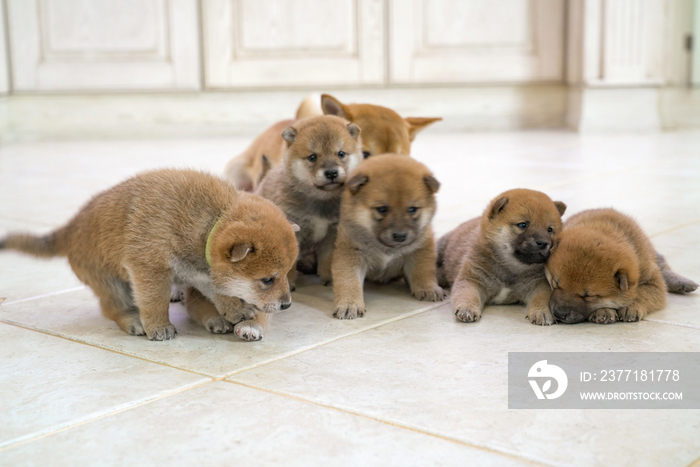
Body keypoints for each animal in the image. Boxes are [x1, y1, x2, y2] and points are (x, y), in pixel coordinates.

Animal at [0, 170, 298, 342]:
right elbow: (154, 302)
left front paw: (237, 311)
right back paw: (133, 321)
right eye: (267, 280)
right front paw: (159, 327)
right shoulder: (149, 268)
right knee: (112, 307)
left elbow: (220, 292)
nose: (287, 305)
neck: (209, 222)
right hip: (110, 282)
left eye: (286, 274)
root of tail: (70, 229)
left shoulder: (199, 273)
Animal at [332, 155, 442, 320]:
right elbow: (349, 281)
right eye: (382, 209)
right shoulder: (350, 253)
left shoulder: (421, 248)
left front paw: (429, 288)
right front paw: (349, 304)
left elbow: (423, 271)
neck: (384, 248)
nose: (400, 236)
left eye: (412, 209)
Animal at [438, 189, 568, 326]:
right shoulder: (471, 279)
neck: (510, 268)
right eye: (523, 225)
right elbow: (468, 294)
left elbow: (542, 298)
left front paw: (542, 312)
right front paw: (467, 309)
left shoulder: (539, 285)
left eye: (550, 229)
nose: (543, 243)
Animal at [544, 209, 696, 324]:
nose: (559, 313)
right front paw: (604, 310)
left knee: (663, 266)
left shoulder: (654, 282)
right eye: (555, 284)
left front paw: (631, 307)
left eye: (588, 296)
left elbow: (642, 293)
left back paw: (683, 283)